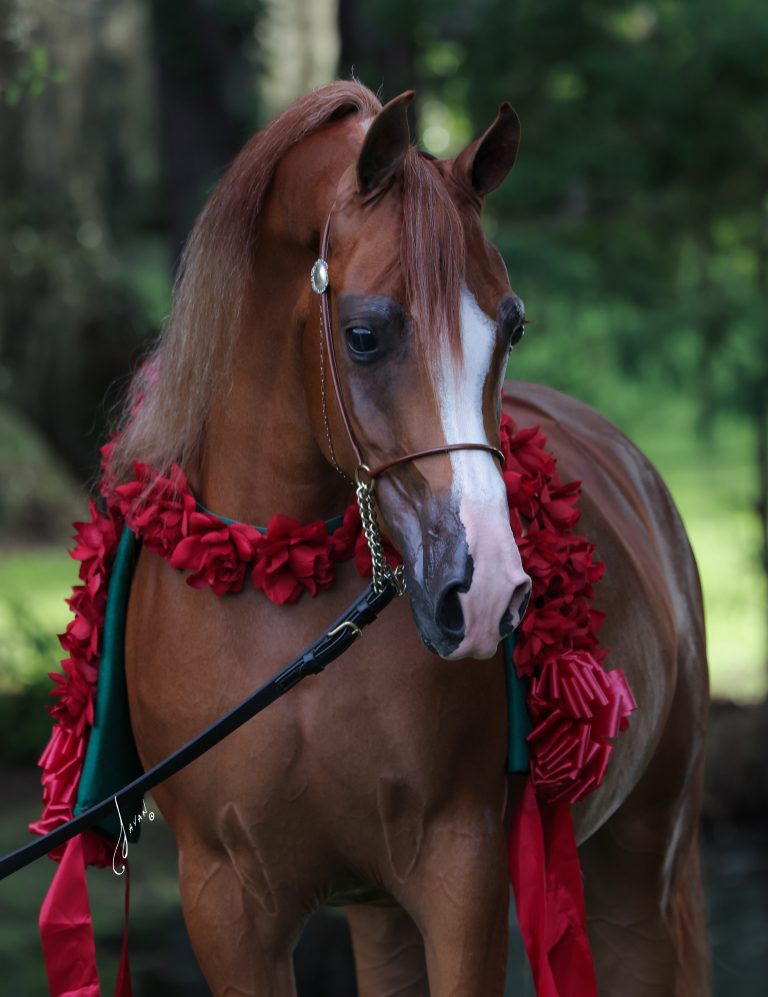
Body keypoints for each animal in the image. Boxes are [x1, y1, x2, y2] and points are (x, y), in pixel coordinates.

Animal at [114, 83, 708, 996]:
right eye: (363, 334)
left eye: (512, 327)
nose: (488, 588)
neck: (285, 591)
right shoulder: (225, 904)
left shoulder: (464, 872)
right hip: (381, 911)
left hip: (639, 866)